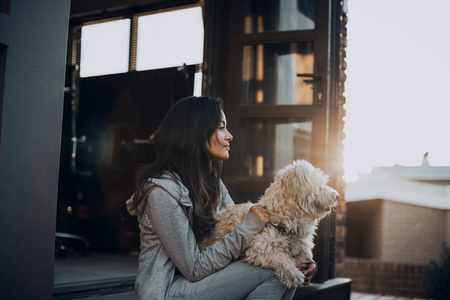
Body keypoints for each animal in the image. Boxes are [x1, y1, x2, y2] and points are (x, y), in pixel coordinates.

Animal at [200, 161, 338, 288]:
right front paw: (293, 273)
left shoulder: (301, 247)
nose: (336, 195)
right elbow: (280, 258)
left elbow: (304, 255)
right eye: (320, 185)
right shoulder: (259, 247)